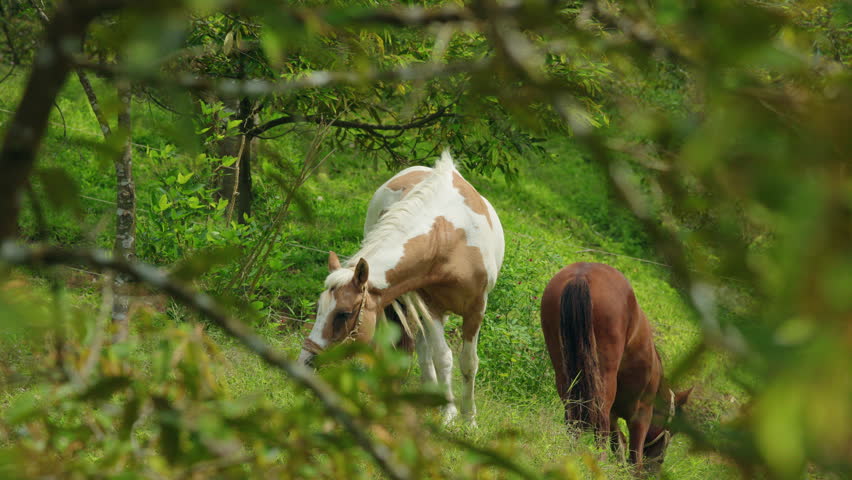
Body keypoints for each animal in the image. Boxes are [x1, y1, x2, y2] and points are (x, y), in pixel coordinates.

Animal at [297, 151, 505, 423]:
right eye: (319, 308)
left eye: (344, 313)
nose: (305, 361)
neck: (449, 240)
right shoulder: (431, 306)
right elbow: (441, 357)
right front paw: (448, 413)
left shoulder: (476, 308)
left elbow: (468, 362)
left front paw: (469, 418)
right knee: (424, 348)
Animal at [540, 262, 692, 469]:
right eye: (673, 429)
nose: (657, 465)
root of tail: (582, 274)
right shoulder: (642, 414)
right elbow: (634, 456)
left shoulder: (616, 415)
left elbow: (618, 442)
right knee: (600, 421)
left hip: (563, 370)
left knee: (572, 415)